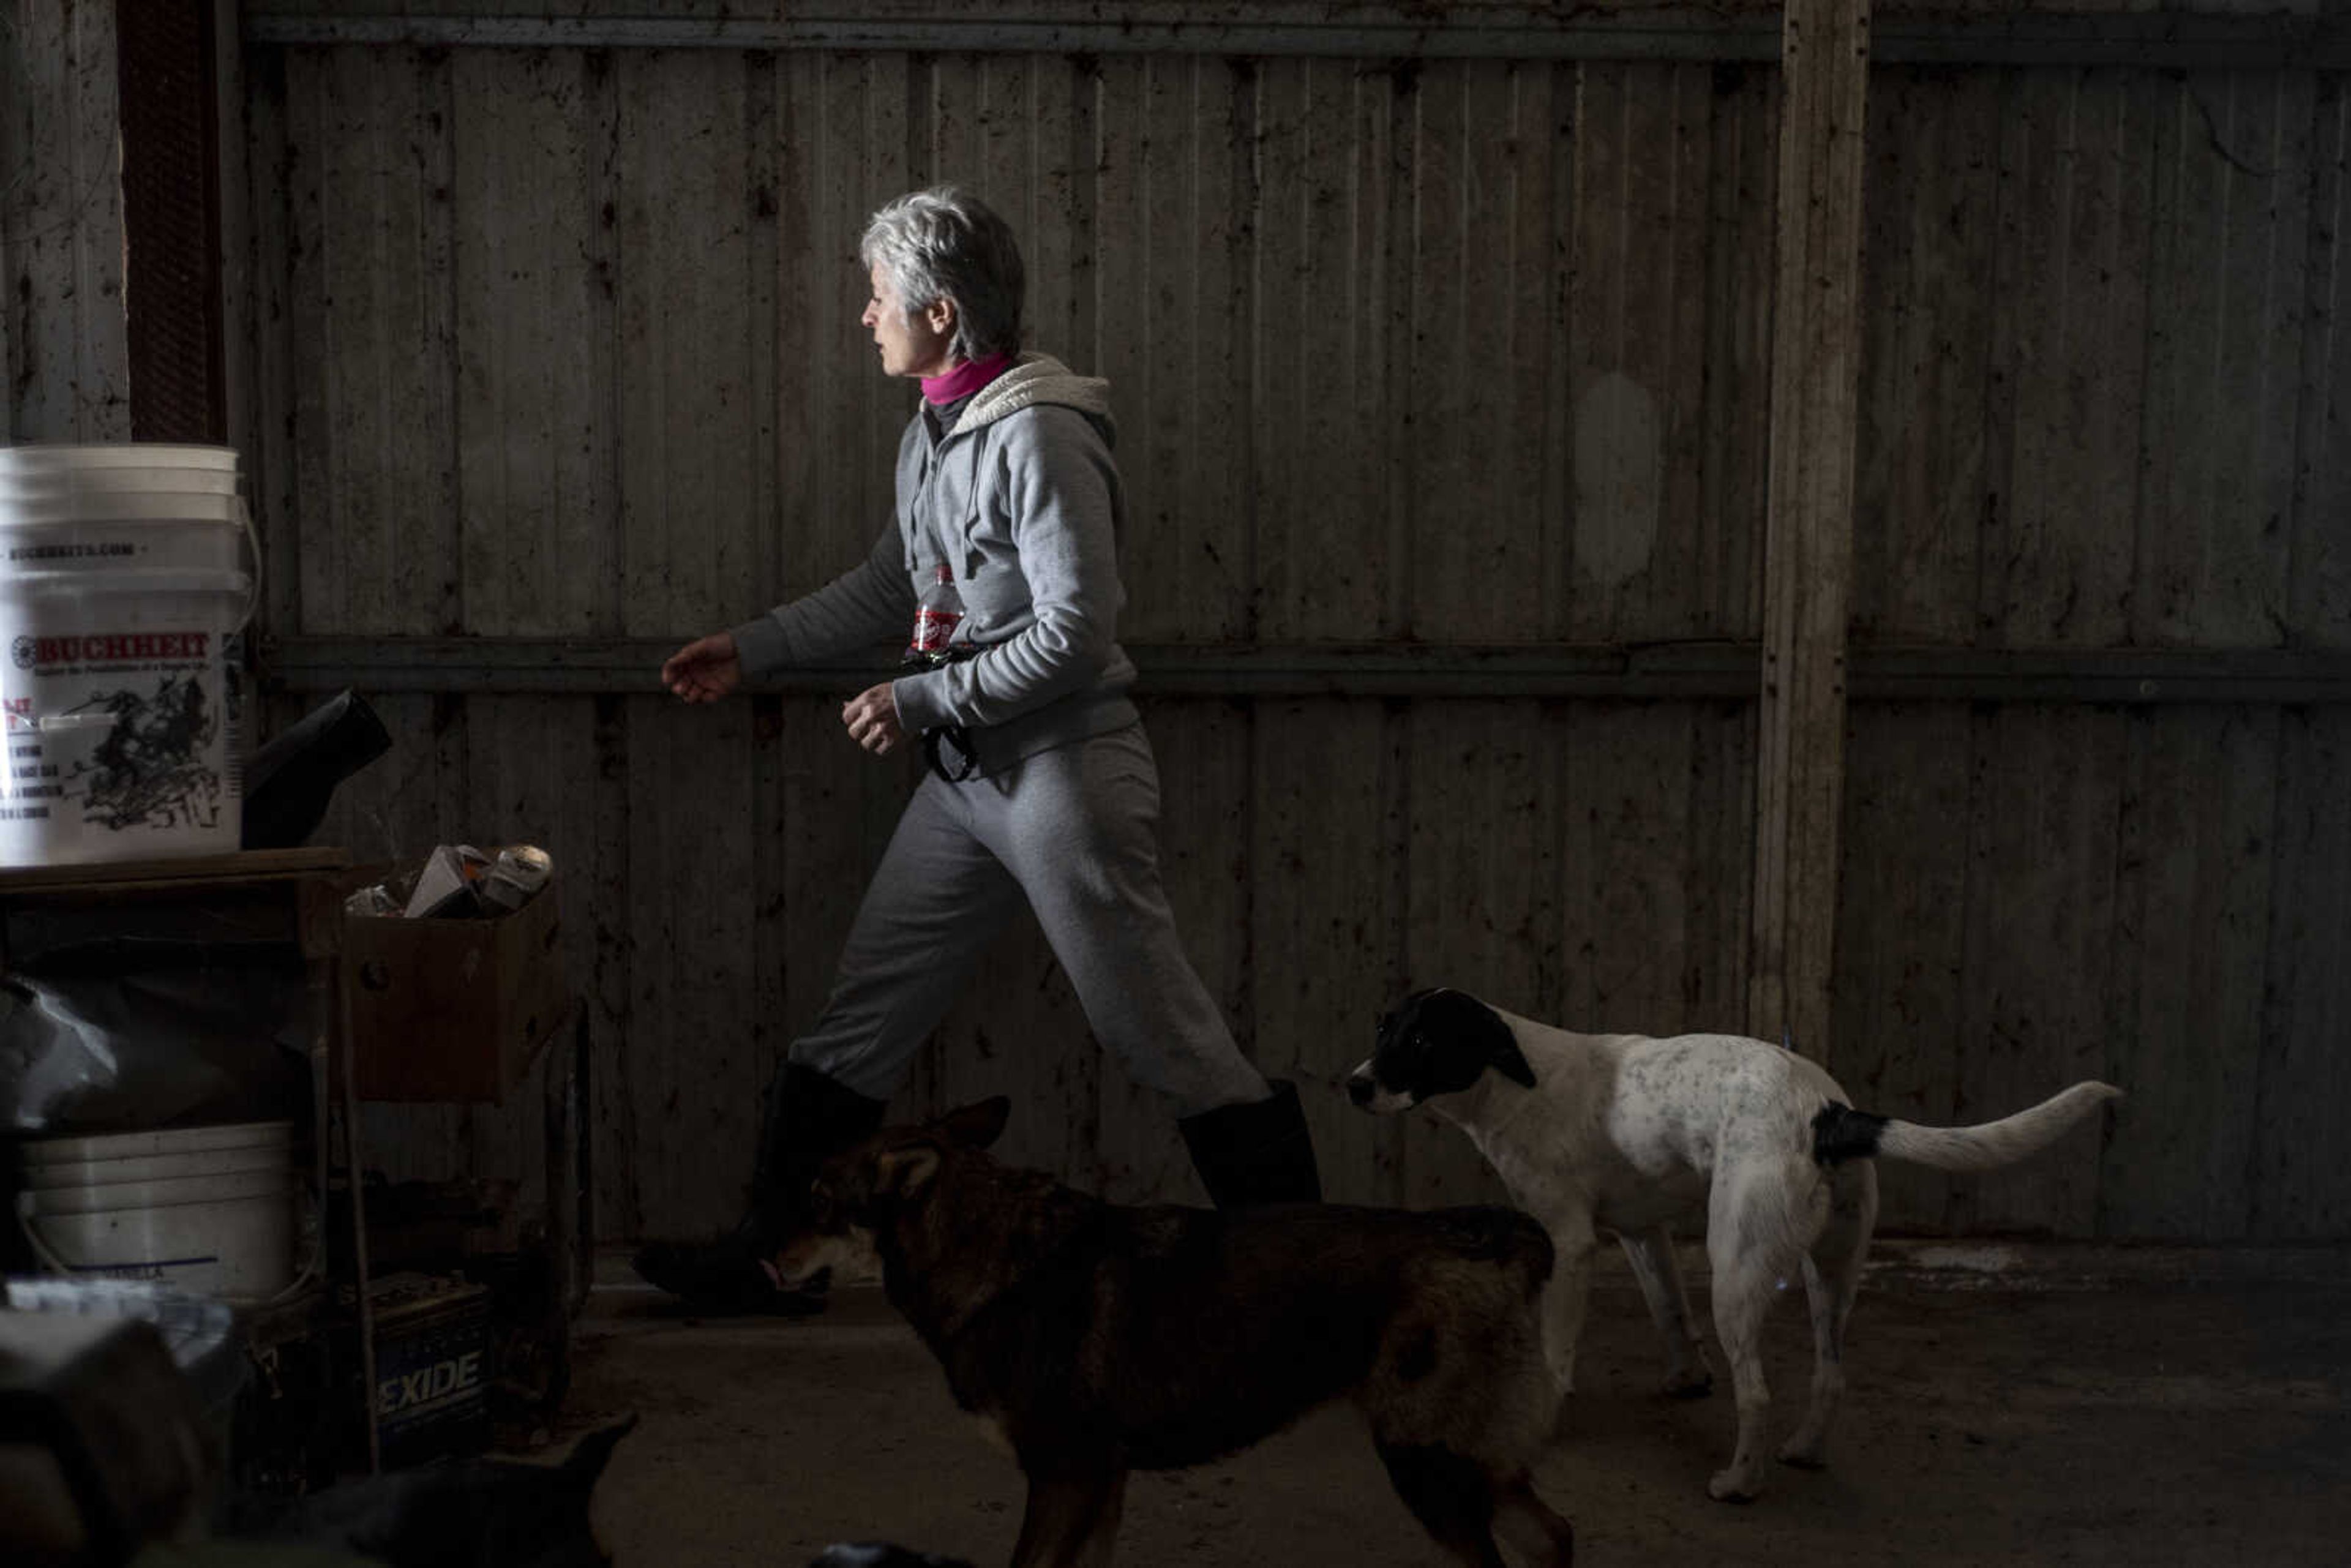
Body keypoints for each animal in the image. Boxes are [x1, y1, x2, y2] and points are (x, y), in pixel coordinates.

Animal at [776, 1100, 1580, 1568]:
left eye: (819, 1200)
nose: (762, 1255)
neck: (989, 1249)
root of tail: (1486, 1238)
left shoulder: (1066, 1478)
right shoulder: (1101, 1485)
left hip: (1429, 1466)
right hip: (1467, 1464)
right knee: (1552, 1535)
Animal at [1344, 987, 2134, 1504]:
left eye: (1420, 1040)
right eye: (1382, 1026)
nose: (1352, 1085)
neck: (1515, 1080)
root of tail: (1829, 1111)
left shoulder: (1570, 1242)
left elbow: (1556, 1354)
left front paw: (1541, 1418)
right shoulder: (1644, 1232)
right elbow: (1670, 1311)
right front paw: (1685, 1376)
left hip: (1739, 1268)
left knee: (1755, 1390)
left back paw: (1739, 1482)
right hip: (1830, 1273)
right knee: (1829, 1373)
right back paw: (1805, 1450)